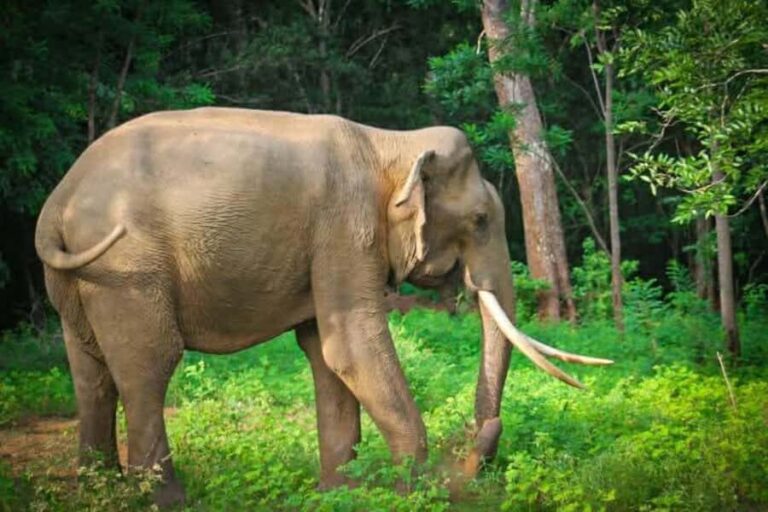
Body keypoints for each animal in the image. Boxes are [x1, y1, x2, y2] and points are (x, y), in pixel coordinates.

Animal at [35, 107, 612, 506]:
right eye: (481, 220)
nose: (467, 472)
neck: (390, 143)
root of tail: (58, 203)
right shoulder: (345, 225)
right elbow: (351, 347)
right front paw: (412, 493)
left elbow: (325, 353)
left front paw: (341, 493)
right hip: (126, 269)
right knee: (148, 368)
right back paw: (166, 502)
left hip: (77, 282)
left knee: (91, 373)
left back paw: (100, 490)